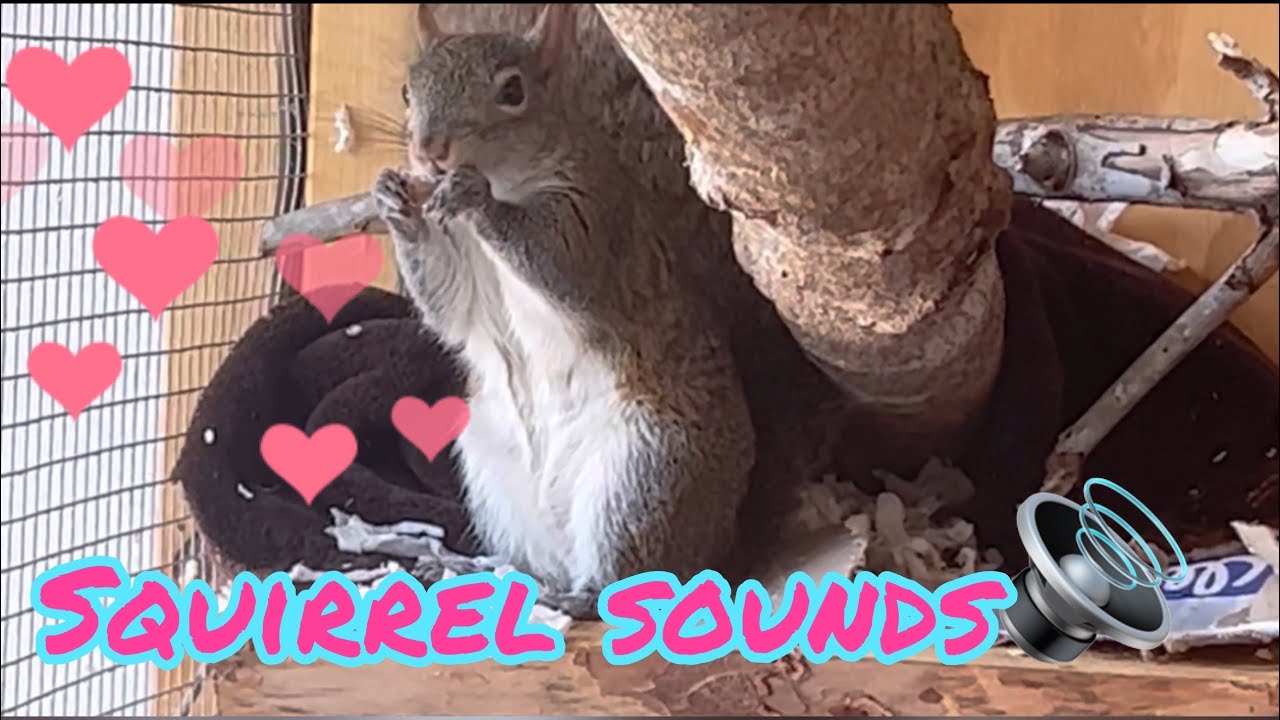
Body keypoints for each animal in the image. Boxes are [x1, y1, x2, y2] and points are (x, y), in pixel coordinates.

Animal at [371, 3, 756, 617]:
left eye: (513, 90)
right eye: (409, 90)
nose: (430, 152)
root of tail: (721, 541)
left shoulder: (591, 214)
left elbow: (559, 265)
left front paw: (473, 195)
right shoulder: (463, 272)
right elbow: (450, 305)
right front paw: (393, 200)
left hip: (641, 474)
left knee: (625, 577)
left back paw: (577, 596)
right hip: (491, 474)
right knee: (533, 560)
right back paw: (477, 572)